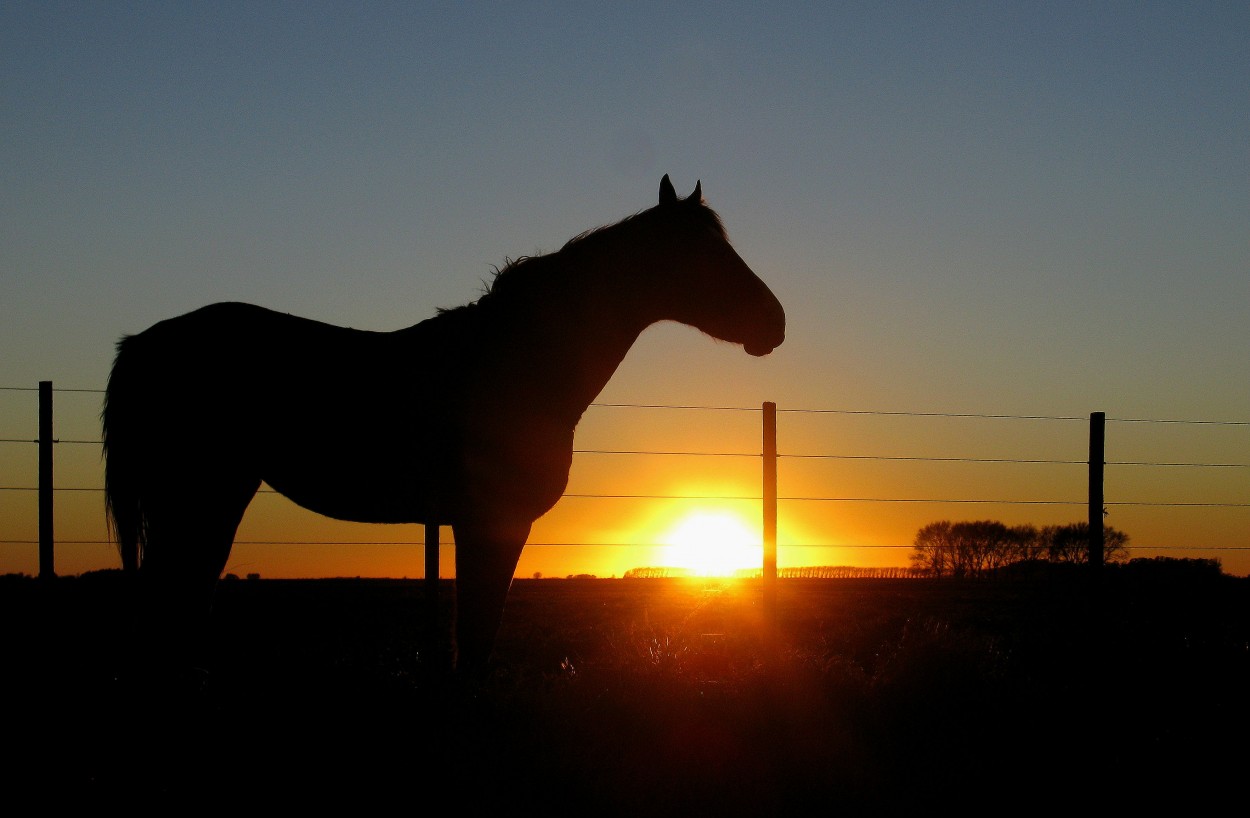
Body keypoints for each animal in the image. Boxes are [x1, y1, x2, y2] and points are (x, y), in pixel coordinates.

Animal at [102, 175, 785, 680]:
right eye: (705, 254)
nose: (774, 322)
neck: (516, 364)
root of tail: (143, 343)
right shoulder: (492, 522)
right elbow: (475, 639)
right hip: (199, 499)